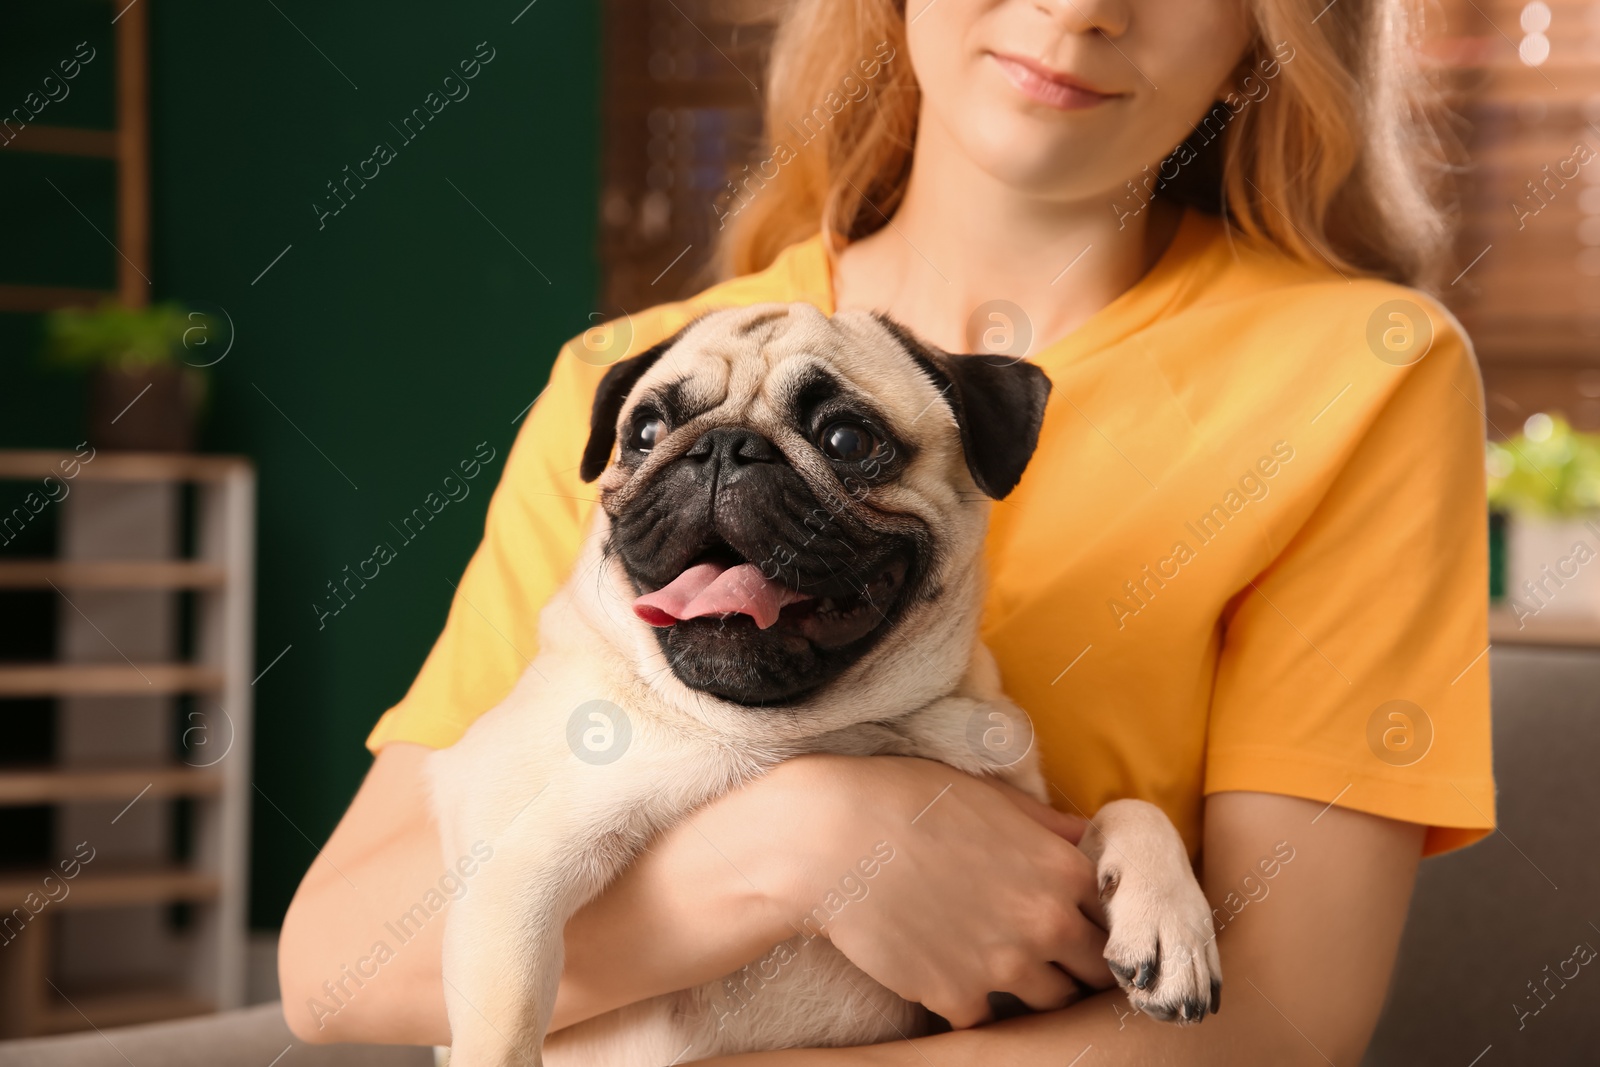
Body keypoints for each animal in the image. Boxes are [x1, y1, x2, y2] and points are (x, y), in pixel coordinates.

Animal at [432, 302, 1216, 1067]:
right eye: (646, 431)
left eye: (846, 440)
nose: (723, 447)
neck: (803, 730)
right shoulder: (515, 878)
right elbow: (506, 1025)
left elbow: (1131, 809)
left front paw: (1174, 922)